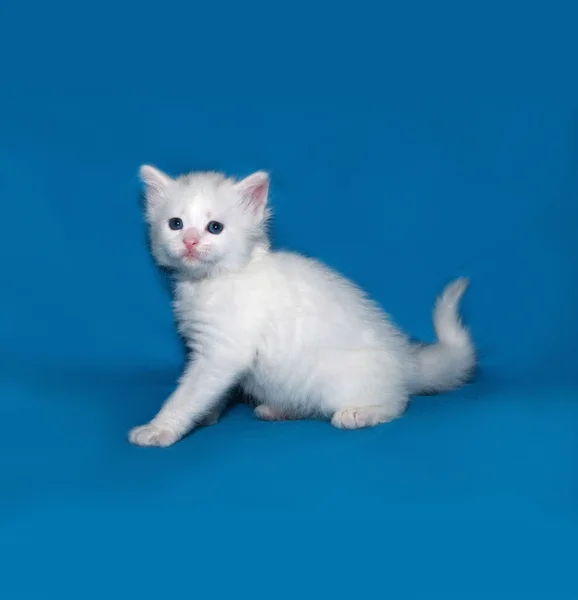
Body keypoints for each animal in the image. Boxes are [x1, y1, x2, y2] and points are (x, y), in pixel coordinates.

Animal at [129, 166, 472, 448]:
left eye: (214, 227)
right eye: (175, 224)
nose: (189, 241)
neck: (211, 281)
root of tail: (406, 361)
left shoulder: (223, 351)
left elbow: (188, 394)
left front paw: (159, 429)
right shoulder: (212, 350)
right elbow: (209, 392)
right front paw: (207, 415)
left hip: (342, 383)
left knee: (398, 404)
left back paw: (359, 413)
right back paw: (277, 410)